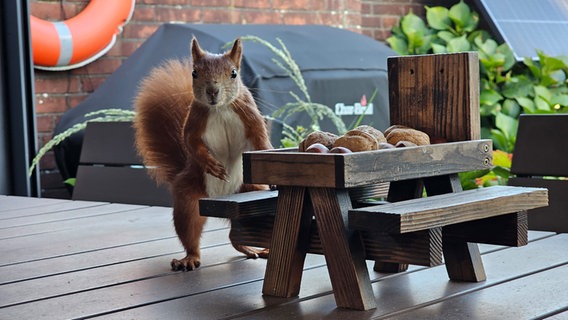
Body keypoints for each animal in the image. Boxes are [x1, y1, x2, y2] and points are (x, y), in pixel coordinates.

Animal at [135, 38, 272, 272]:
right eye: (194, 73)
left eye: (234, 73)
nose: (212, 91)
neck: (220, 108)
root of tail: (222, 196)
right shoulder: (194, 121)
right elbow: (190, 143)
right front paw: (211, 164)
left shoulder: (250, 114)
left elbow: (261, 139)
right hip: (188, 197)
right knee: (191, 232)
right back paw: (189, 259)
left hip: (251, 189)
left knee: (236, 235)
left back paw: (256, 249)